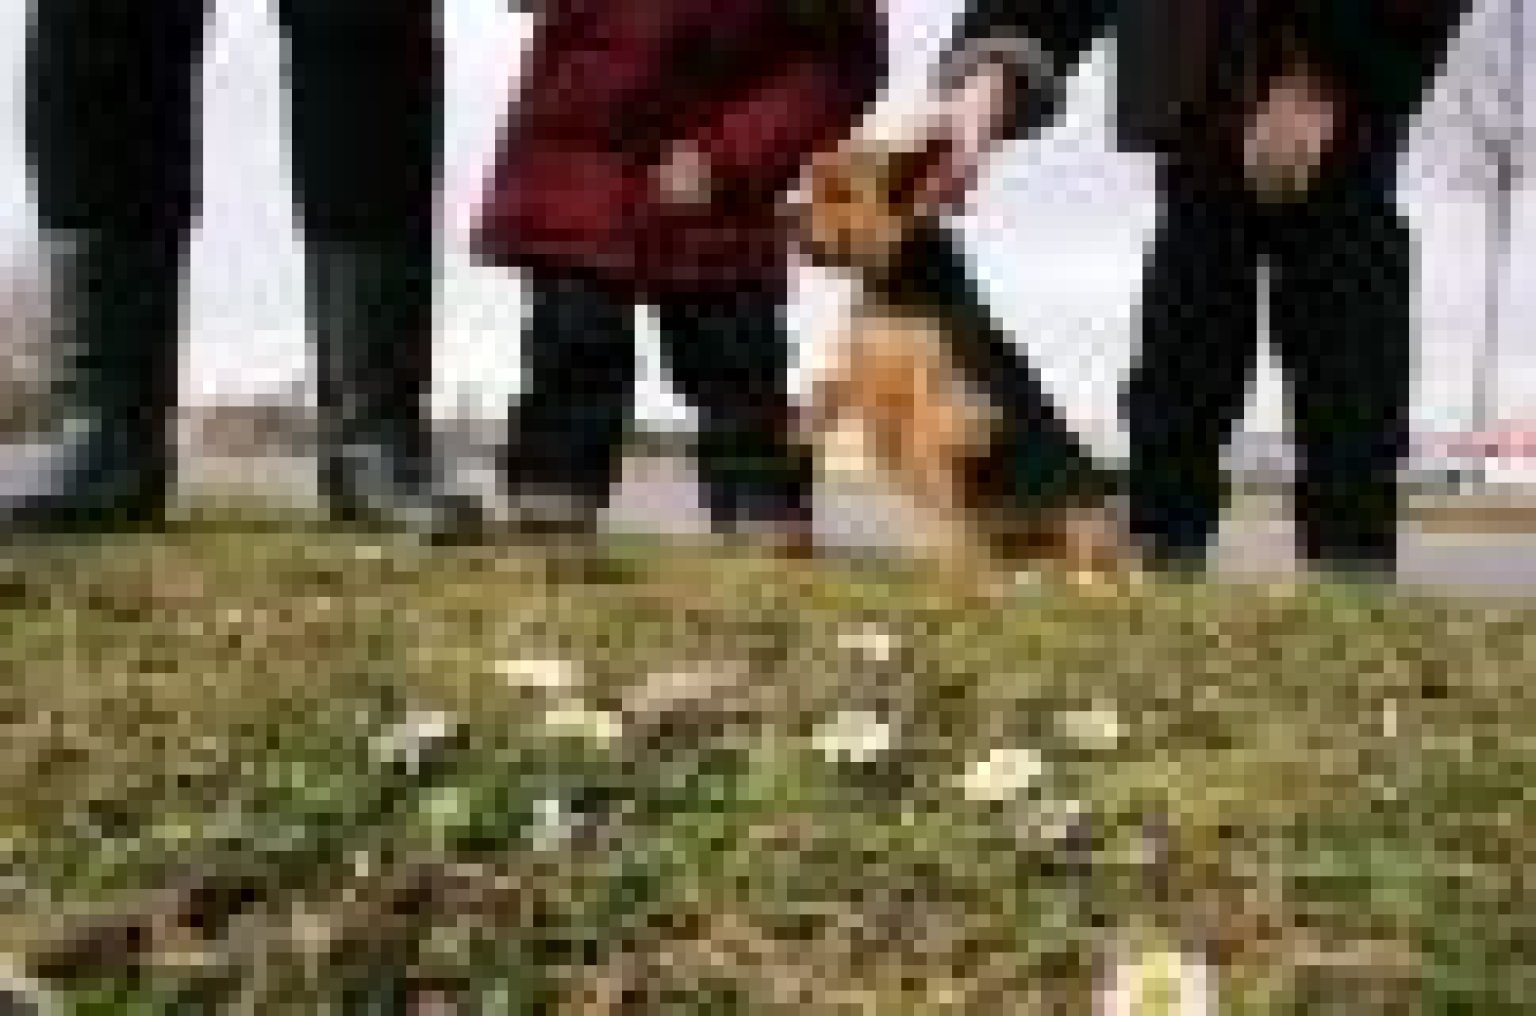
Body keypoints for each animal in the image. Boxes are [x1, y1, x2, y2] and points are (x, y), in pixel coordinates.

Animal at [793, 138, 1129, 592]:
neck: (895, 283)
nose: (783, 215)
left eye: (840, 192)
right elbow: (831, 383)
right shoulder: (862, 364)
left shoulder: (942, 403)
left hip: (1079, 516)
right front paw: (805, 421)